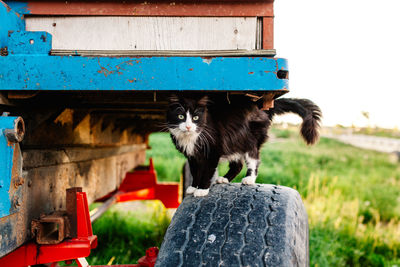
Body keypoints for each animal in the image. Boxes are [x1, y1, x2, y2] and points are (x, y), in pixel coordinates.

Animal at [166, 94, 322, 197]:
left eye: (195, 118)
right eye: (181, 116)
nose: (188, 126)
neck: (190, 137)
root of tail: (263, 108)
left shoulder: (212, 152)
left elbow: (207, 172)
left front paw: (202, 190)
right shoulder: (192, 156)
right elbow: (195, 172)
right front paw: (193, 187)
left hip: (250, 139)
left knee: (254, 160)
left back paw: (249, 179)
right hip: (234, 142)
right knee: (238, 164)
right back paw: (224, 179)